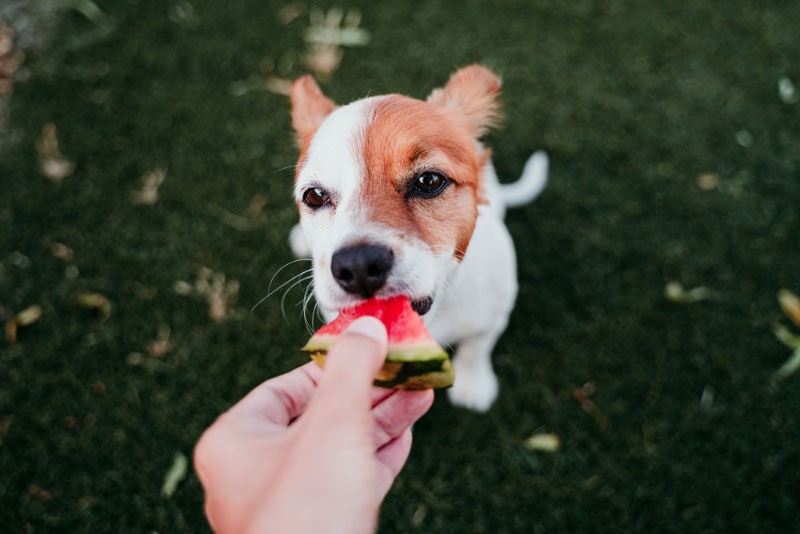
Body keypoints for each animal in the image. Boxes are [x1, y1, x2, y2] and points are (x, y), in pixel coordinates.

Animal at [284, 65, 548, 412]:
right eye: (314, 196)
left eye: (430, 180)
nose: (358, 266)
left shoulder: (495, 312)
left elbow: (477, 347)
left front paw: (474, 383)